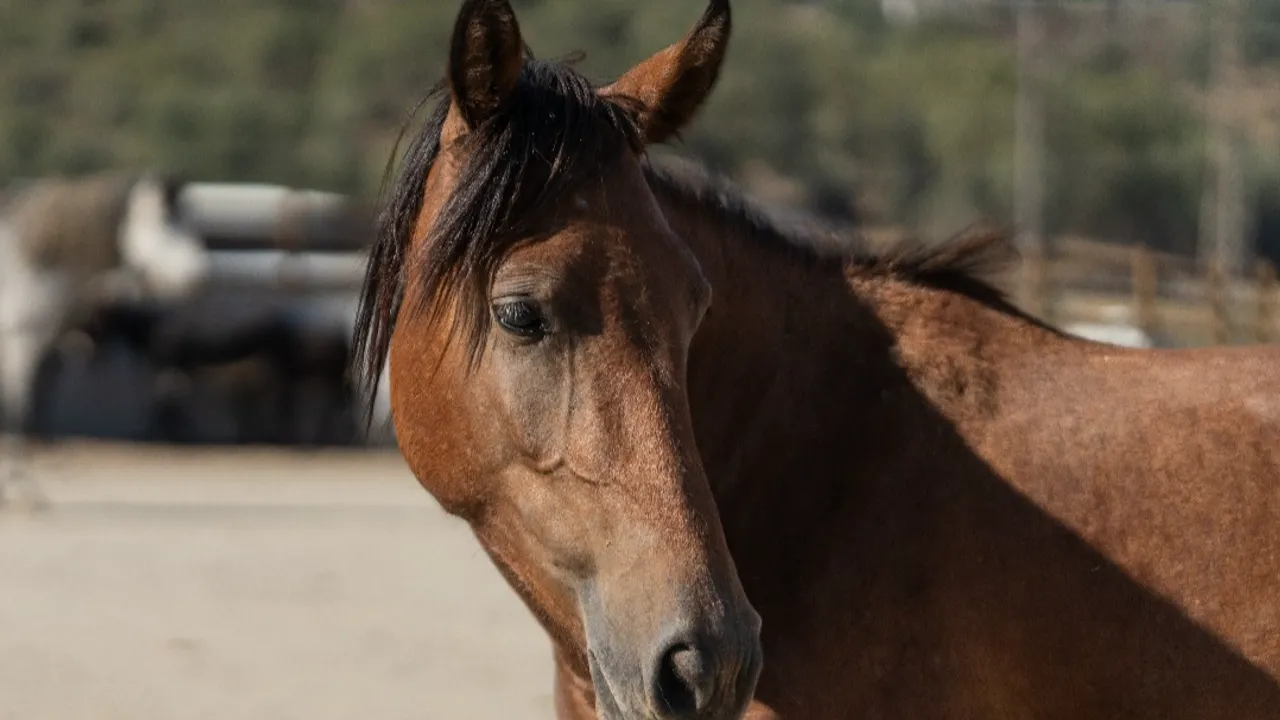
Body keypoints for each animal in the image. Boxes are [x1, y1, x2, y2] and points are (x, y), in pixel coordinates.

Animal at [0, 171, 210, 505]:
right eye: (165, 219)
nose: (199, 277)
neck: (30, 260)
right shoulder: (20, 346)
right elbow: (17, 413)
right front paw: (21, 489)